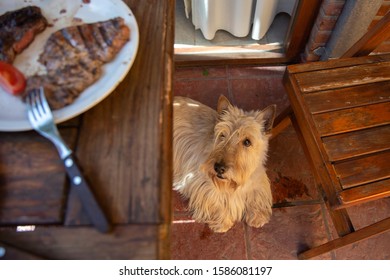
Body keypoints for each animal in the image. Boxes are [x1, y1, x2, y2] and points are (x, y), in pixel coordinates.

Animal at [172, 95, 276, 233]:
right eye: (222, 135)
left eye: (247, 142)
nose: (219, 168)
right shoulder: (203, 183)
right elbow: (216, 200)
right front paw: (222, 222)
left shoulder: (257, 180)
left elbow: (257, 194)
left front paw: (258, 215)